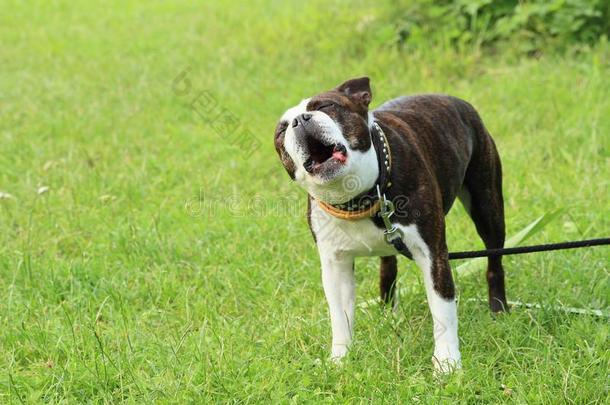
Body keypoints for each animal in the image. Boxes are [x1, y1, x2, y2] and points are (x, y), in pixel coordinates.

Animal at [274, 77, 506, 370]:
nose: (300, 120)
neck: (359, 197)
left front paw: (446, 363)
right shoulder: (335, 265)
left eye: (327, 106)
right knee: (388, 266)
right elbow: (340, 318)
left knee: (494, 261)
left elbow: (443, 310)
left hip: (488, 207)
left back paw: (499, 309)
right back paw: (387, 313)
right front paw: (340, 360)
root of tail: (454, 100)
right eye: (281, 131)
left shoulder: (433, 255)